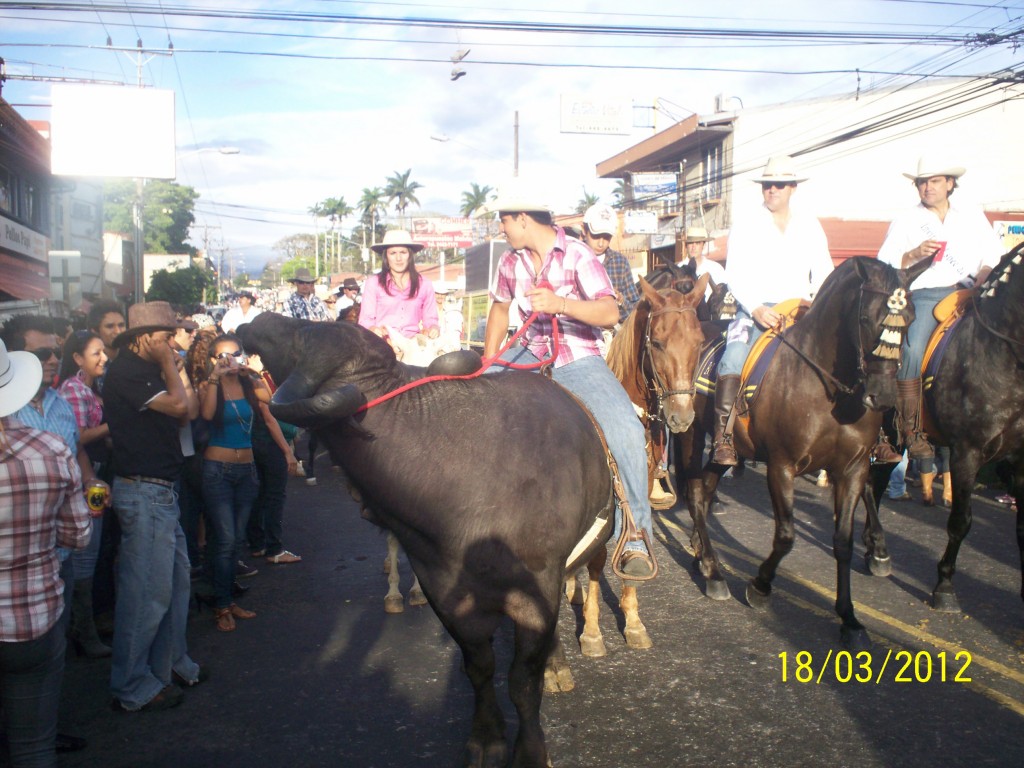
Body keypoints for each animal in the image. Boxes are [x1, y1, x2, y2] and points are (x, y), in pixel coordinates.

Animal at [241, 313, 614, 768]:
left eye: (302, 336)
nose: (260, 319)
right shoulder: (445, 593)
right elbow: (480, 668)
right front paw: (485, 737)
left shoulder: (537, 587)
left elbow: (523, 681)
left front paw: (530, 750)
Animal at [675, 259, 933, 651]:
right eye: (866, 318)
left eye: (912, 317)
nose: (883, 396)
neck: (825, 389)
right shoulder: (781, 466)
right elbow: (786, 536)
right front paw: (760, 586)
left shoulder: (852, 470)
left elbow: (843, 541)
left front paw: (849, 617)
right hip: (692, 433)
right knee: (694, 493)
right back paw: (715, 572)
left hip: (724, 453)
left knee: (704, 493)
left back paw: (704, 559)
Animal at [864, 243, 1024, 618]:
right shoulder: (967, 452)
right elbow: (961, 521)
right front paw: (945, 586)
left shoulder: (1020, 459)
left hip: (893, 440)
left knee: (875, 483)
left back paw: (872, 548)